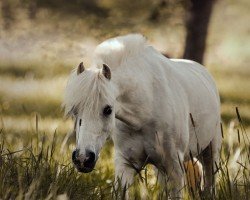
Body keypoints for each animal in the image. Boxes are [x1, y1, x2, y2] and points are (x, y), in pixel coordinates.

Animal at [63, 33, 222, 198]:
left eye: (108, 109)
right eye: (74, 110)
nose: (83, 158)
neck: (145, 114)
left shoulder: (175, 169)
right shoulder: (125, 164)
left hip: (211, 153)